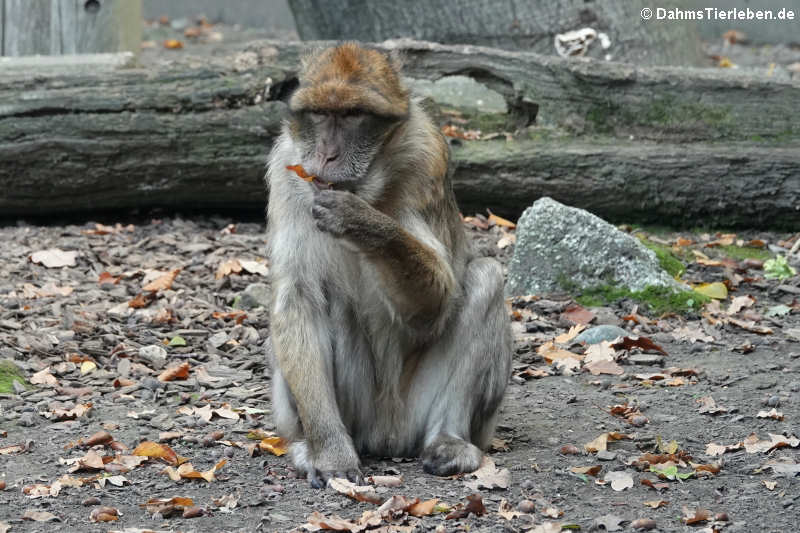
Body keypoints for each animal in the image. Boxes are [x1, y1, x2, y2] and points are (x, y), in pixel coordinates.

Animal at [264, 42, 512, 486]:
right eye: (320, 114)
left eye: (352, 115)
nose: (327, 155)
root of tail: (388, 438)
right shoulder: (287, 172)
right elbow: (298, 298)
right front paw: (330, 452)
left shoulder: (426, 159)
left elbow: (434, 308)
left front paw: (364, 224)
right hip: (357, 417)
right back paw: (314, 447)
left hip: (425, 414)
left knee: (484, 278)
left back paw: (448, 440)